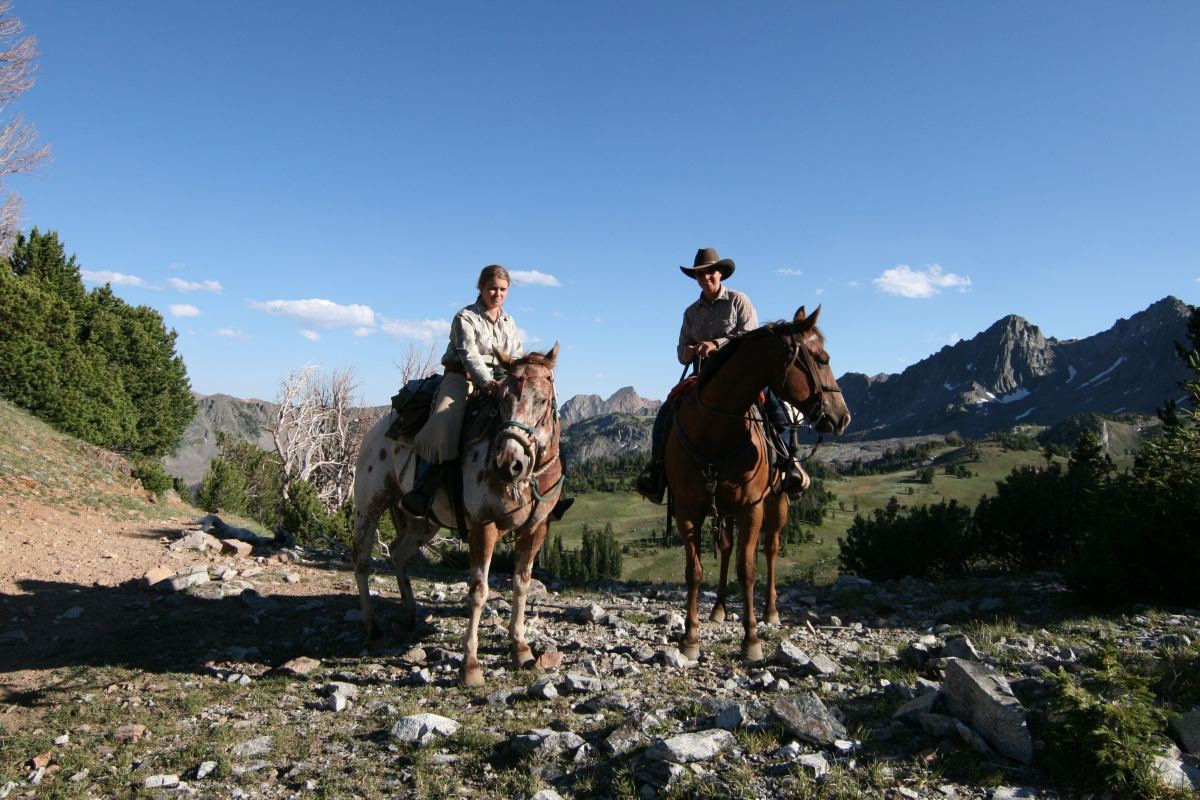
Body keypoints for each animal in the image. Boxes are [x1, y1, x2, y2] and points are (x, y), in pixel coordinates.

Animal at [350, 340, 564, 686]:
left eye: (542, 400)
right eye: (502, 400)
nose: (509, 465)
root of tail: (377, 428)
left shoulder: (536, 529)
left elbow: (522, 584)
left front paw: (520, 648)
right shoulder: (483, 526)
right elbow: (478, 592)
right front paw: (471, 665)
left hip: (424, 522)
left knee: (397, 552)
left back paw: (408, 618)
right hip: (369, 505)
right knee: (362, 560)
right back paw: (373, 628)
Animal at [667, 307, 854, 662]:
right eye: (822, 359)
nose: (842, 418)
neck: (713, 427)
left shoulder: (750, 508)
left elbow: (748, 569)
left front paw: (751, 638)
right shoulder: (687, 509)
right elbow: (693, 571)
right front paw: (690, 637)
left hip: (776, 502)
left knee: (770, 548)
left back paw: (770, 612)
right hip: (723, 510)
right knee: (727, 548)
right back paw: (719, 608)